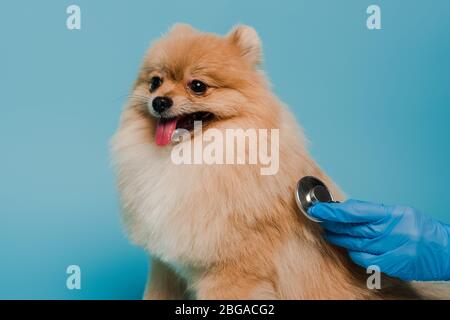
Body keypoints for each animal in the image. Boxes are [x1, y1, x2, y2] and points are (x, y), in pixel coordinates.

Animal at [110, 23, 448, 298]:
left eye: (197, 86)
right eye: (155, 82)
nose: (159, 101)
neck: (188, 159)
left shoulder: (233, 273)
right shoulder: (165, 268)